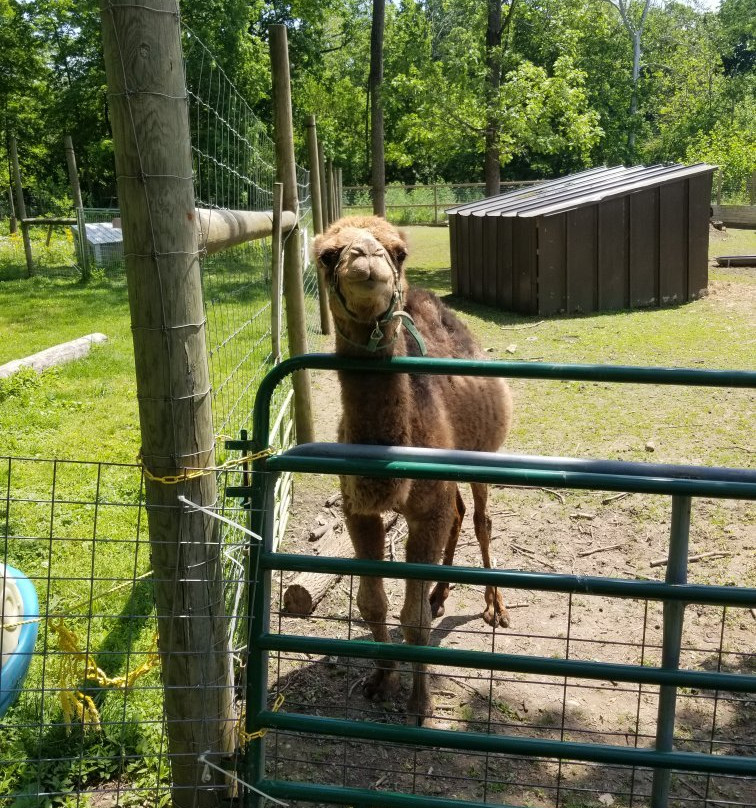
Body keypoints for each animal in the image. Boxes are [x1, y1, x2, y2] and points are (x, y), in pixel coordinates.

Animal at [314, 216, 512, 724]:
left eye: (398, 251)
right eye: (327, 254)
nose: (366, 258)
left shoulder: (424, 511)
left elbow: (415, 621)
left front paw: (420, 704)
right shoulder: (359, 511)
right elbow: (372, 604)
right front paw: (380, 679)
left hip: (483, 455)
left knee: (480, 519)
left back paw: (495, 607)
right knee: (458, 514)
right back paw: (441, 593)